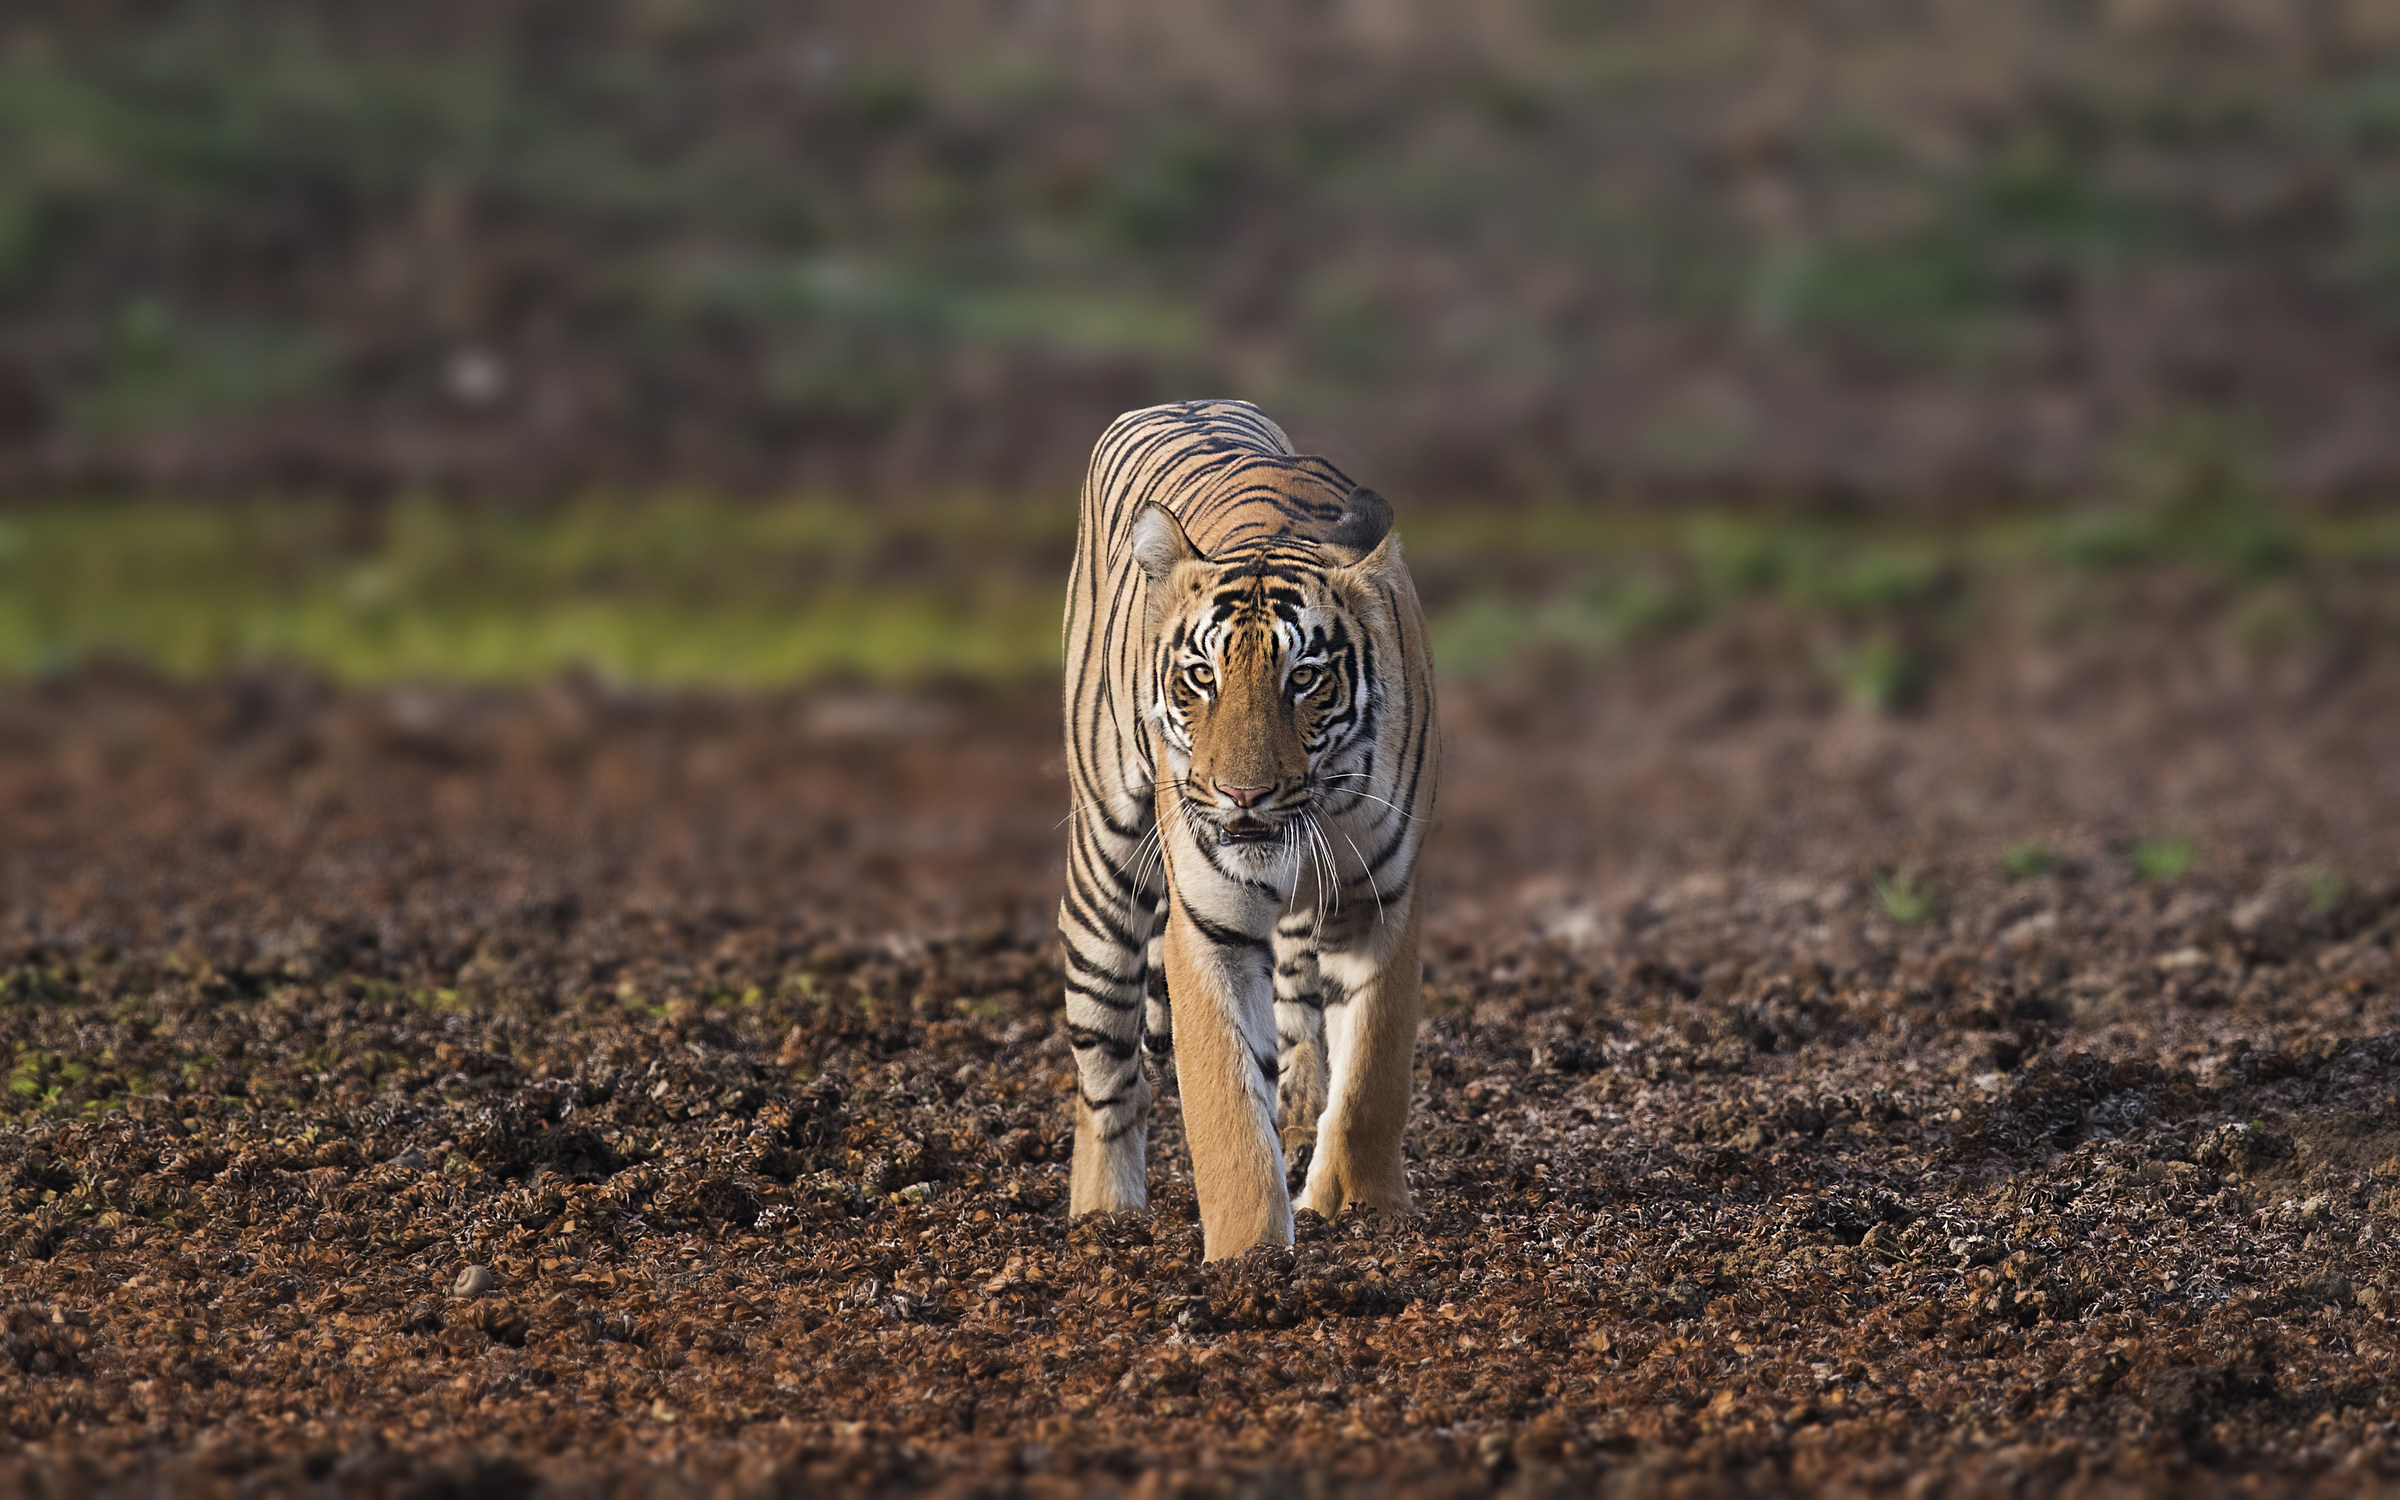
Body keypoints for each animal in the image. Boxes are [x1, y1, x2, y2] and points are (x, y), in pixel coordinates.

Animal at [1057, 398, 1440, 1261]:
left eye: (1306, 679)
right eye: (1202, 676)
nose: (1242, 794)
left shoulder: (1382, 898)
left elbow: (1374, 1072)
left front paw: (1361, 1205)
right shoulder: (1211, 926)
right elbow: (1227, 1111)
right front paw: (1250, 1260)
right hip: (1103, 870)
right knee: (1107, 1074)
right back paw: (1103, 1218)